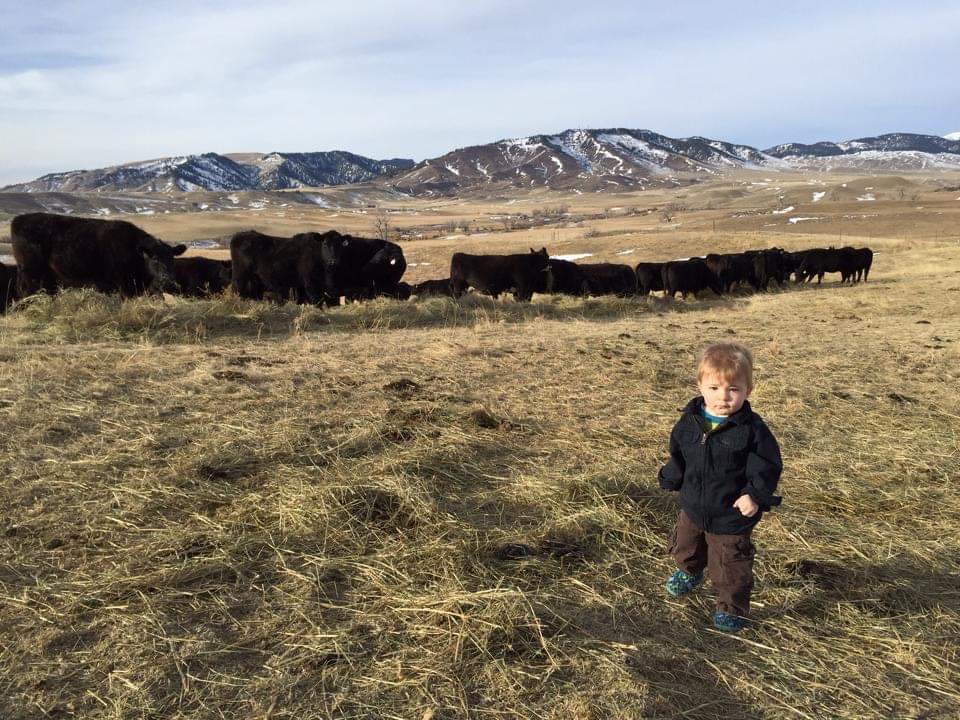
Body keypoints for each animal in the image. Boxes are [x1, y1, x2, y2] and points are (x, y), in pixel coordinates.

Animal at [11, 212, 187, 298]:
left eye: (172, 258)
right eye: (155, 259)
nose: (169, 281)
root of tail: (18, 220)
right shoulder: (116, 287)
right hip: (32, 273)